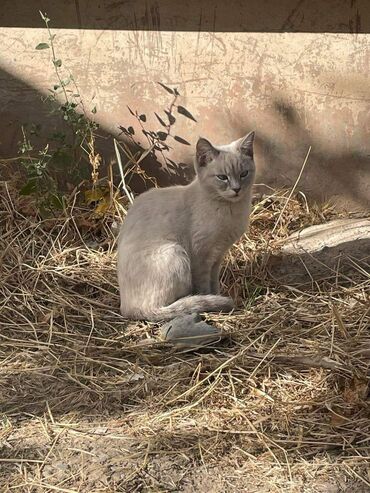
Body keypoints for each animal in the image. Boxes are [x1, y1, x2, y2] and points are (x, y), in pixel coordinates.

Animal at [117, 130, 256, 320]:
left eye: (244, 174)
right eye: (222, 178)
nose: (236, 189)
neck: (230, 210)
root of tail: (128, 309)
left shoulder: (218, 256)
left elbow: (214, 283)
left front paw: (217, 295)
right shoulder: (201, 255)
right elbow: (204, 286)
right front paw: (213, 299)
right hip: (176, 253)